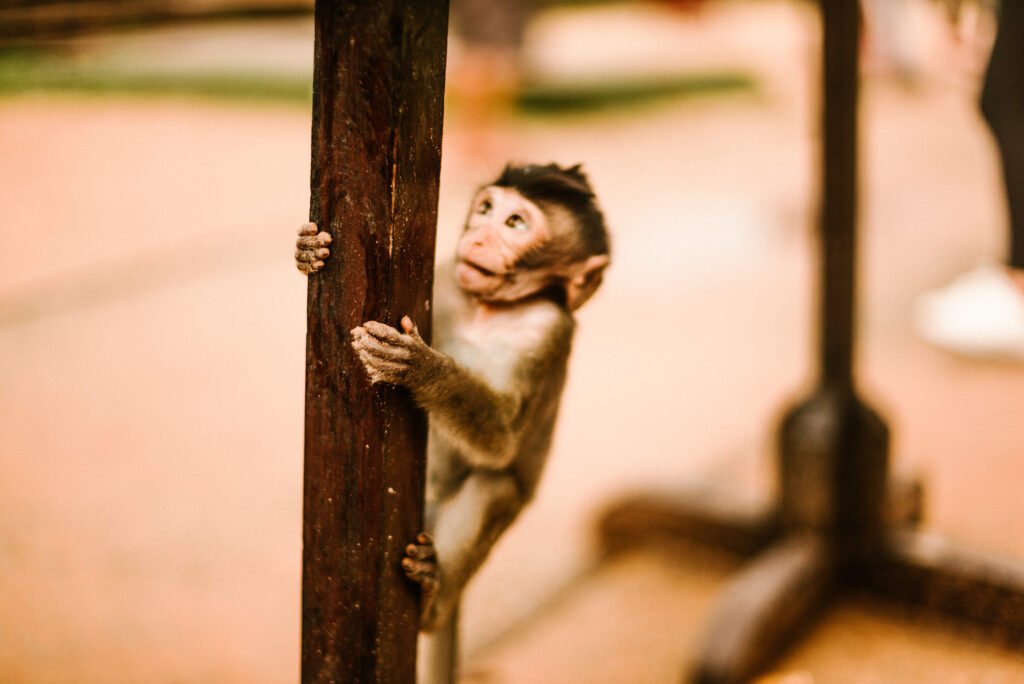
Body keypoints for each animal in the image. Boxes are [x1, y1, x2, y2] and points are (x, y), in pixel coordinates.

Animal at [295, 163, 610, 683]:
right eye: (486, 209)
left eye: (515, 223)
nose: (478, 235)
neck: (486, 311)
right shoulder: (445, 280)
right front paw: (307, 251)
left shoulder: (547, 333)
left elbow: (500, 445)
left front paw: (423, 368)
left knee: (494, 485)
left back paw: (432, 596)